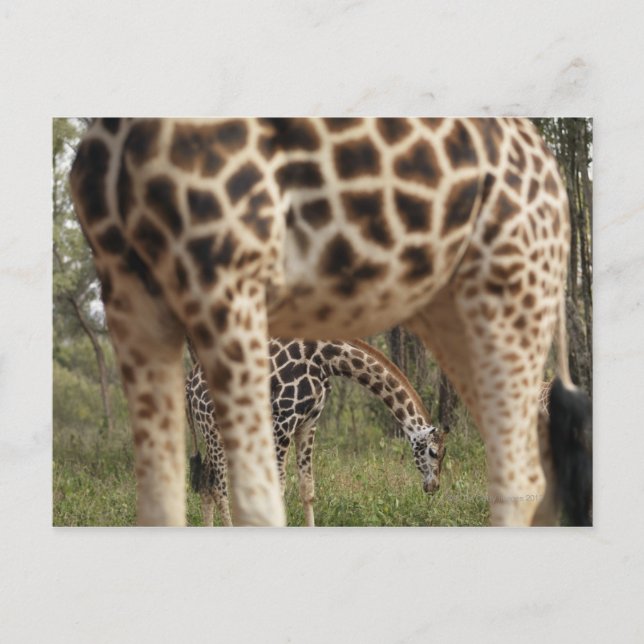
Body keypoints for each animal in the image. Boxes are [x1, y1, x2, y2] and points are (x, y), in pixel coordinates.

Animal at [186, 337, 446, 526]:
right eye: (433, 452)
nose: (434, 486)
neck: (326, 359)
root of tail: (190, 383)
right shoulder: (283, 420)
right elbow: (279, 488)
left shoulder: (308, 423)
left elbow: (307, 487)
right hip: (213, 429)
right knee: (218, 488)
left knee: (206, 483)